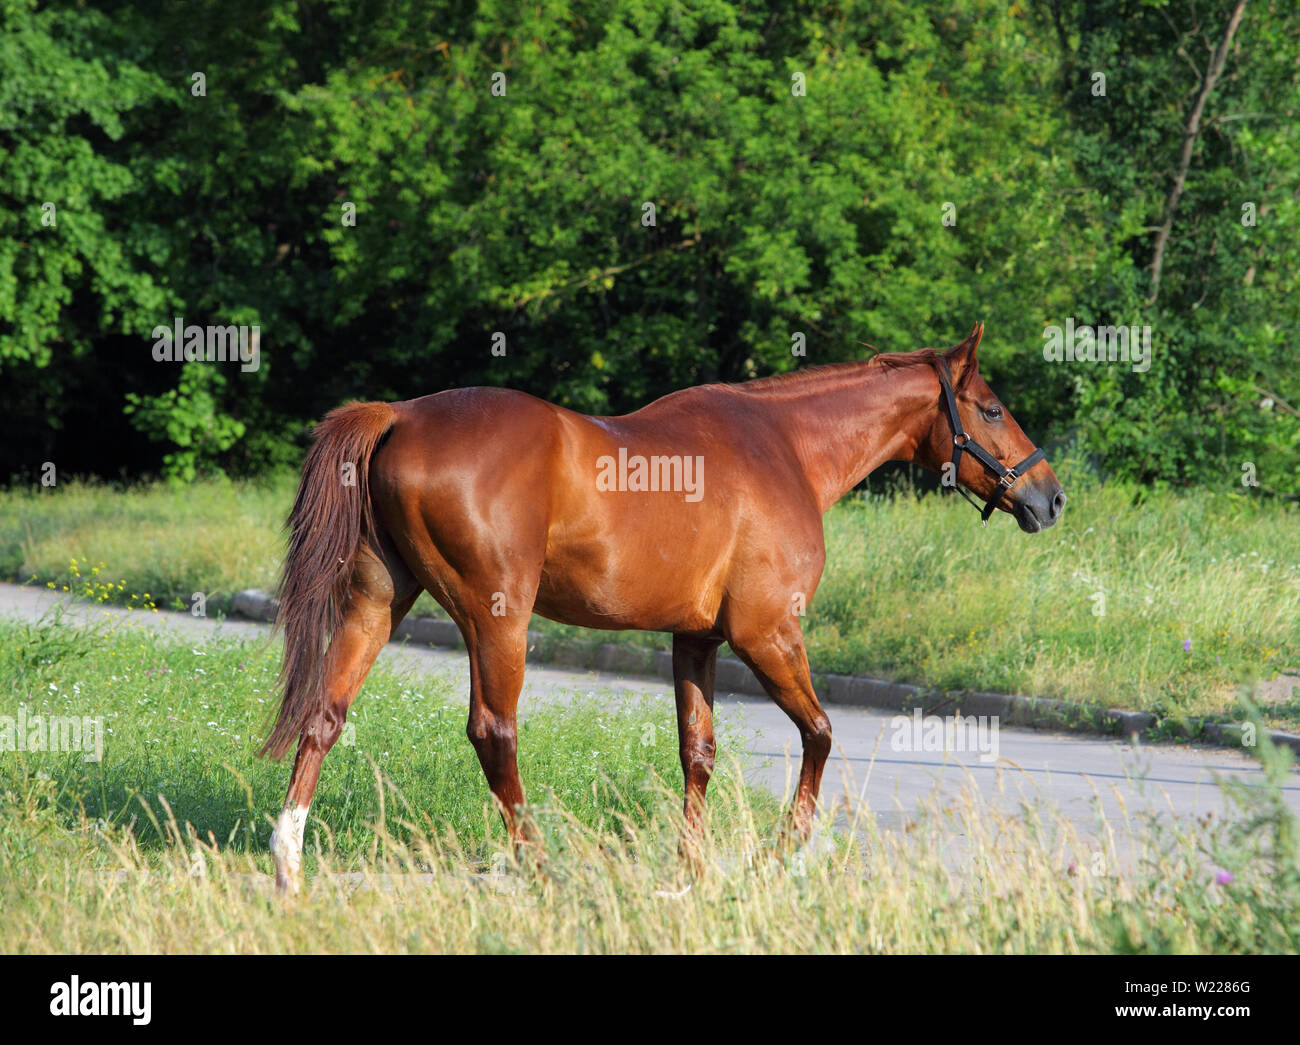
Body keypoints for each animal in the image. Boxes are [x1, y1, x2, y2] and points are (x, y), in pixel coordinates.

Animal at [264, 322, 1065, 893]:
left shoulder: (696, 639)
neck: (784, 446)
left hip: (377, 604)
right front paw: (781, 853)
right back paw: (543, 868)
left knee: (325, 714)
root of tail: (399, 415)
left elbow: (698, 752)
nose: (1049, 497)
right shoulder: (767, 632)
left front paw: (692, 869)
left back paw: (288, 864)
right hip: (497, 620)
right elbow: (819, 733)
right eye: (992, 408)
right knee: (493, 733)